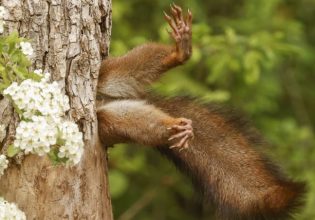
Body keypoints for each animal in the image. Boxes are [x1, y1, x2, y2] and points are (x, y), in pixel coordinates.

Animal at [97, 3, 306, 220]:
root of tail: (105, 99)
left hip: (107, 73)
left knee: (131, 66)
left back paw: (179, 53)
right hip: (108, 121)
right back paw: (176, 128)